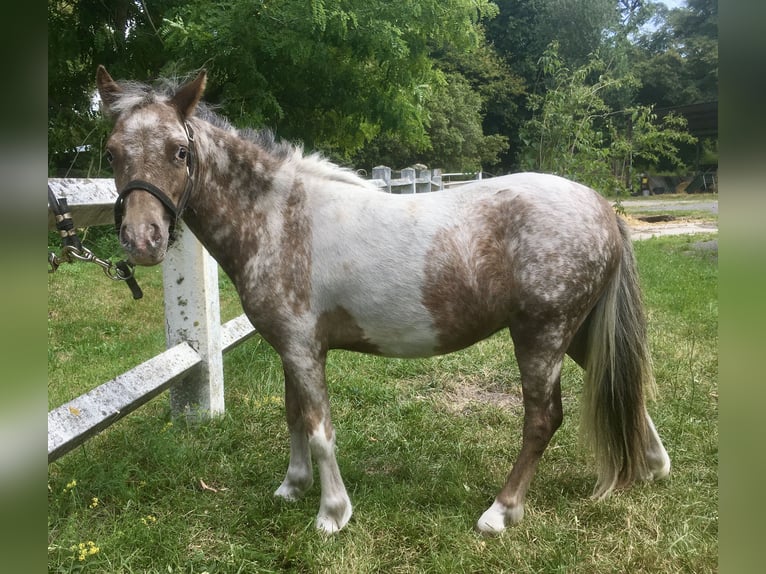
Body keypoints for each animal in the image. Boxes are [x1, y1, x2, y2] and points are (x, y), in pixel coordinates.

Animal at [96, 66, 670, 535]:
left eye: (180, 151)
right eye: (112, 152)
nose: (142, 240)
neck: (280, 218)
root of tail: (600, 206)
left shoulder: (303, 349)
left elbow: (319, 428)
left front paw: (332, 514)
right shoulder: (291, 348)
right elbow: (294, 415)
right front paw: (292, 487)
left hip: (542, 335)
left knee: (542, 419)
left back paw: (500, 512)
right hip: (577, 332)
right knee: (627, 387)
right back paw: (653, 466)